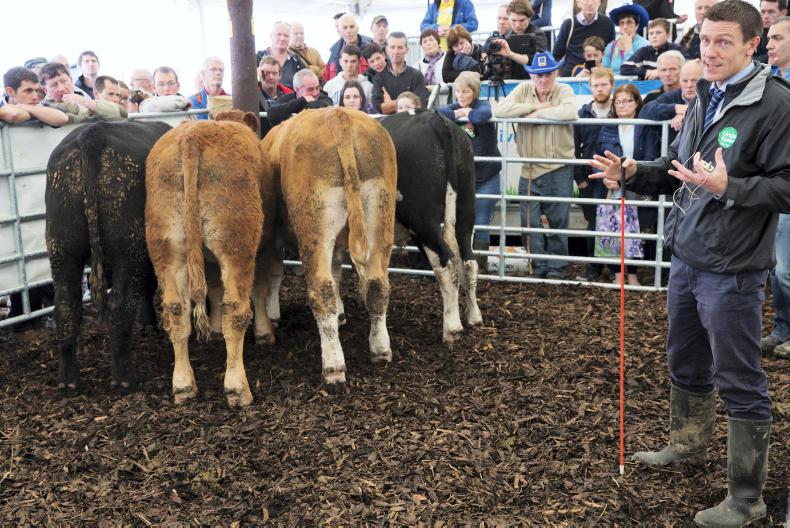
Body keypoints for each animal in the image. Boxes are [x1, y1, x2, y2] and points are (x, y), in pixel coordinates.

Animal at [46, 120, 171, 391]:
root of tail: (93, 132)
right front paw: (148, 323)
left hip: (61, 246)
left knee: (65, 304)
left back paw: (68, 381)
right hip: (130, 248)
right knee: (120, 305)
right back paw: (123, 378)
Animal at [145, 111, 276, 407]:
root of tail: (192, 136)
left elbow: (214, 289)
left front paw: (214, 329)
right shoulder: (263, 246)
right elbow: (260, 289)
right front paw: (265, 333)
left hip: (167, 248)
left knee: (176, 310)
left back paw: (183, 385)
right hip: (238, 245)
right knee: (235, 309)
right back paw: (237, 388)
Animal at [261, 107, 398, 384]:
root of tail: (338, 115)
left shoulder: (272, 240)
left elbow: (275, 276)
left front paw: (272, 314)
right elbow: (337, 275)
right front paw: (341, 314)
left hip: (315, 229)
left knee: (321, 290)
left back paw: (334, 365)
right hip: (380, 217)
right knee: (377, 285)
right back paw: (380, 349)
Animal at [381, 109, 483, 342]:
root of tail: (435, 118)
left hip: (422, 220)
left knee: (447, 263)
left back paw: (452, 328)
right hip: (465, 210)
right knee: (468, 262)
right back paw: (473, 317)